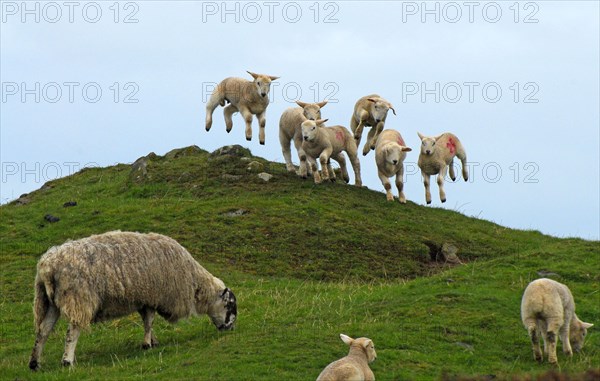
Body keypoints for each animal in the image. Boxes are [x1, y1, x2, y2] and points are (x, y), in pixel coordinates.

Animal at [28, 230, 238, 370]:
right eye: (229, 305)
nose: (230, 328)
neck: (194, 281)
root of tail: (48, 266)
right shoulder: (154, 296)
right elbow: (149, 321)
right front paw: (147, 344)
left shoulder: (145, 298)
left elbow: (147, 321)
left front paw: (153, 341)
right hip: (78, 298)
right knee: (72, 331)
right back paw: (67, 361)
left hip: (50, 302)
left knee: (43, 331)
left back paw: (35, 363)